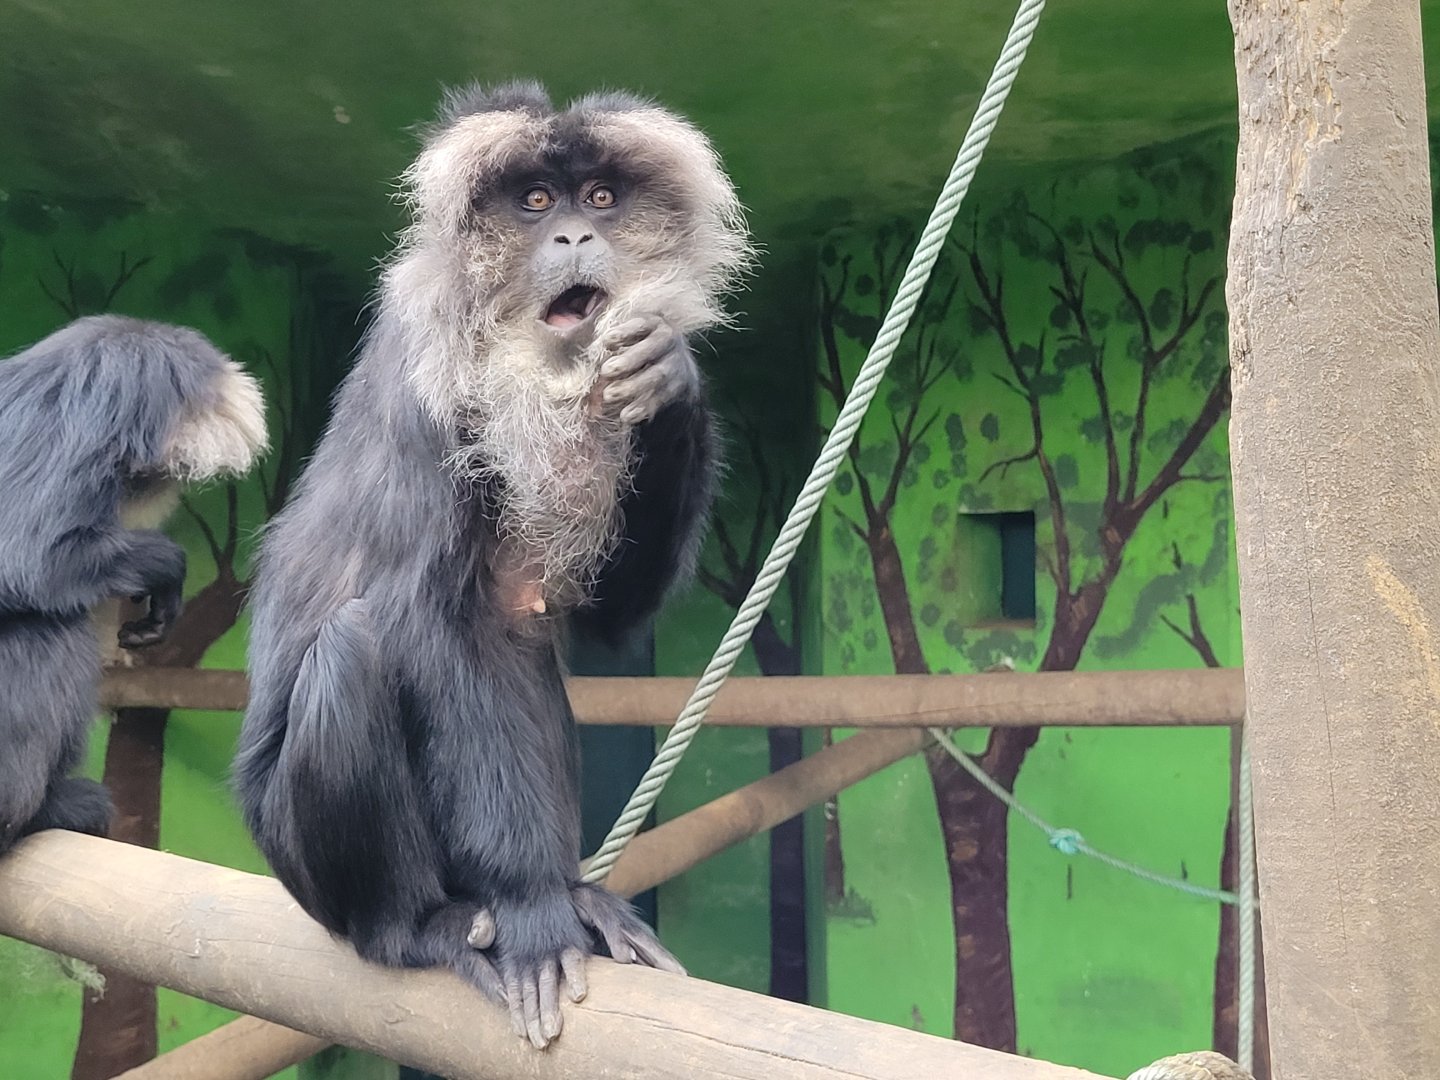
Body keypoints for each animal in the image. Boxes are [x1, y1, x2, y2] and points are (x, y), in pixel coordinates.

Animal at [233, 81, 752, 1049]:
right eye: (536, 203)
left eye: (600, 199)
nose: (575, 238)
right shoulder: (426, 399)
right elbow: (432, 624)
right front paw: (534, 913)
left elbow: (607, 619)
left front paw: (669, 375)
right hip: (303, 864)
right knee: (355, 650)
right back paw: (428, 926)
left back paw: (576, 891)